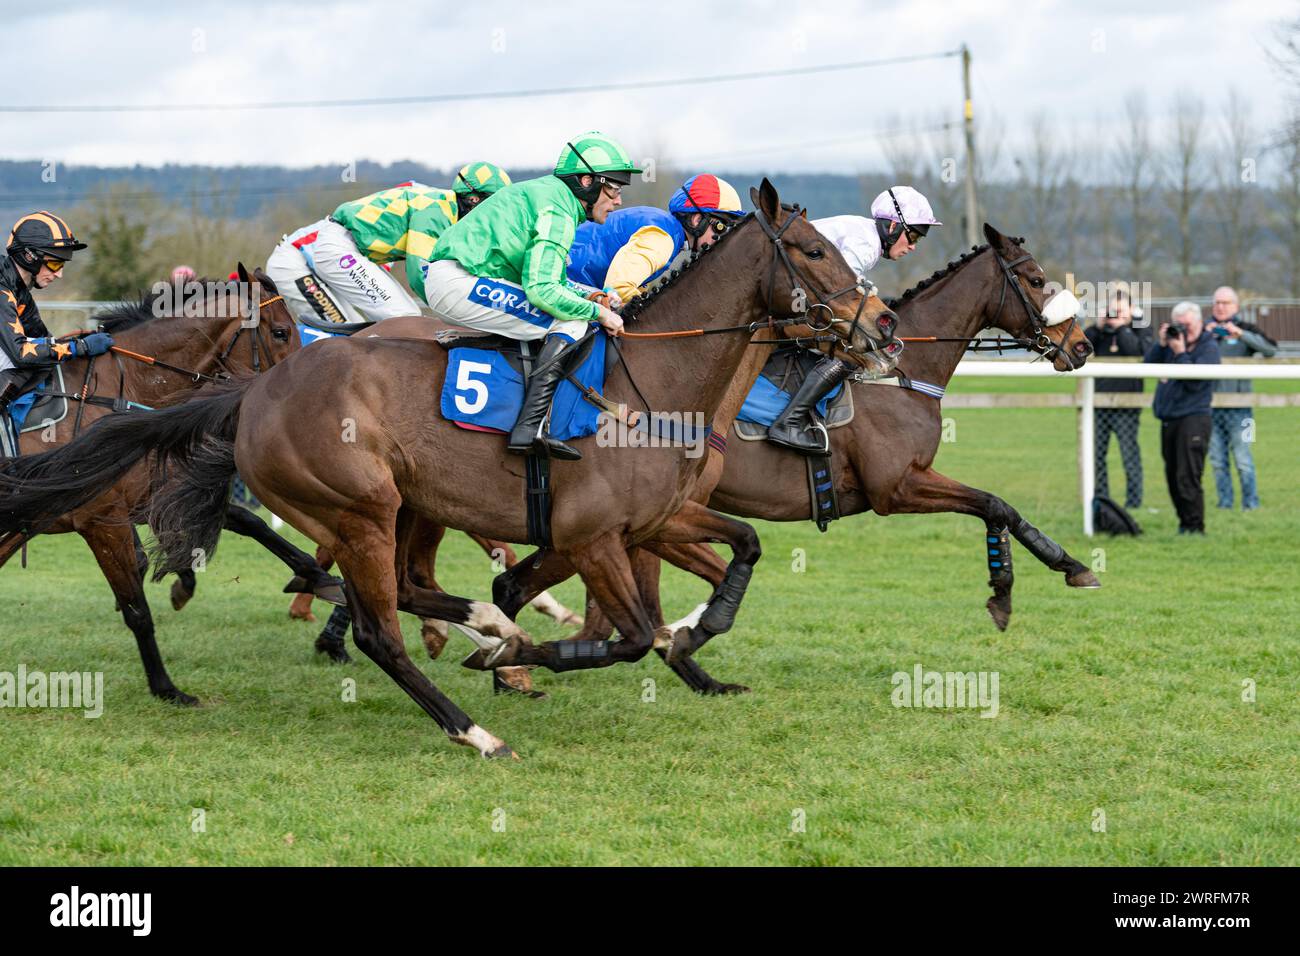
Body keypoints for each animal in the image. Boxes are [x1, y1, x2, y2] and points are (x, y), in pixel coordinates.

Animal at [0, 183, 899, 759]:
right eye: (813, 250)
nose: (884, 325)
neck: (656, 382)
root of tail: (255, 392)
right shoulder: (590, 535)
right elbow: (630, 634)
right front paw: (524, 660)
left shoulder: (655, 520)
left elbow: (739, 552)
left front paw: (691, 642)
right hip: (360, 506)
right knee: (380, 626)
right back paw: (475, 722)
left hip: (392, 507)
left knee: (396, 589)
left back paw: (482, 627)